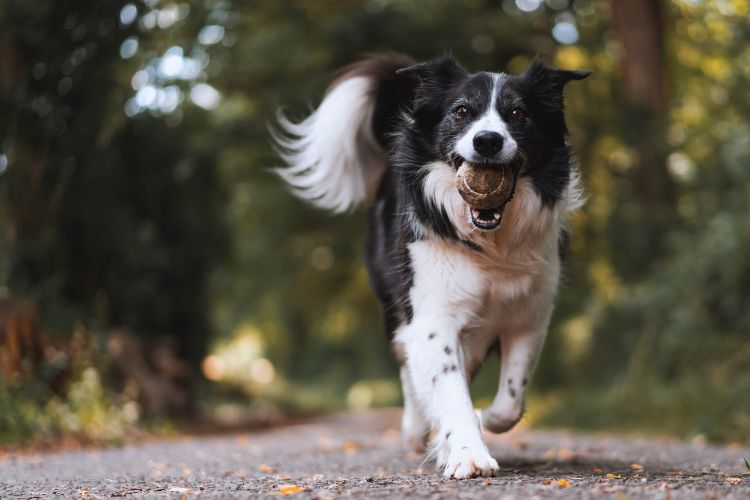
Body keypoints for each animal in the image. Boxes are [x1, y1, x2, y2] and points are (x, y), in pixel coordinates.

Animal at [274, 52, 592, 478]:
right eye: (461, 111)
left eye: (519, 113)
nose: (487, 140)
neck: (491, 244)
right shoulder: (431, 315)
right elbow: (448, 388)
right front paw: (468, 453)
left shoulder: (529, 315)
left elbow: (510, 400)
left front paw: (480, 422)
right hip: (396, 306)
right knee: (410, 369)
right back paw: (416, 431)